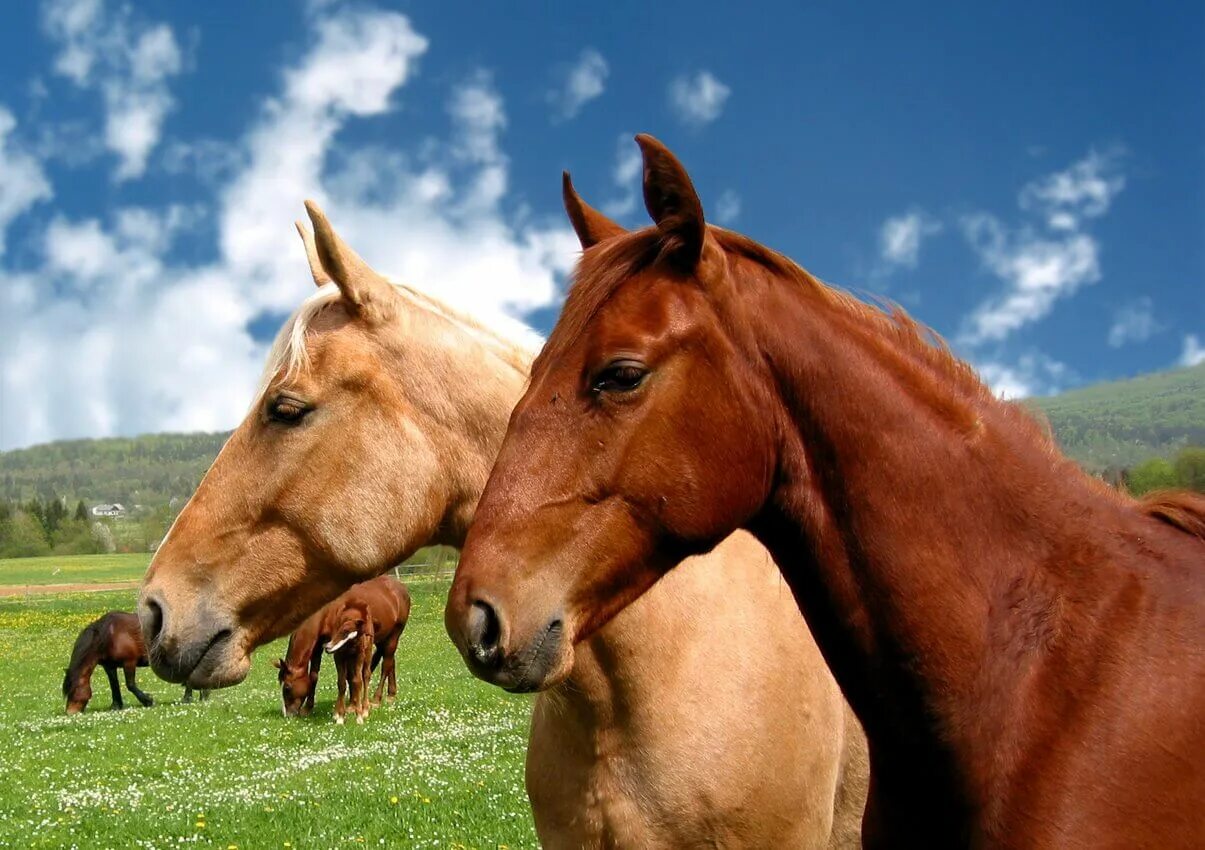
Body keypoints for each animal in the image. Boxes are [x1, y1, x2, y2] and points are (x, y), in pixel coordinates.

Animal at [61, 607, 207, 713]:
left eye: (73, 690)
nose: (70, 713)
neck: (108, 635)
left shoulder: (129, 663)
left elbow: (130, 685)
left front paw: (148, 701)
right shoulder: (109, 666)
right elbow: (114, 685)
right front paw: (116, 705)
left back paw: (191, 697)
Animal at [322, 573, 412, 718]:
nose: (328, 647)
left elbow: (355, 678)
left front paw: (354, 706)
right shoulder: (342, 654)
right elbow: (345, 679)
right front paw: (344, 708)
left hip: (394, 635)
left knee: (386, 664)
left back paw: (376, 699)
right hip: (383, 639)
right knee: (389, 661)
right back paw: (391, 694)